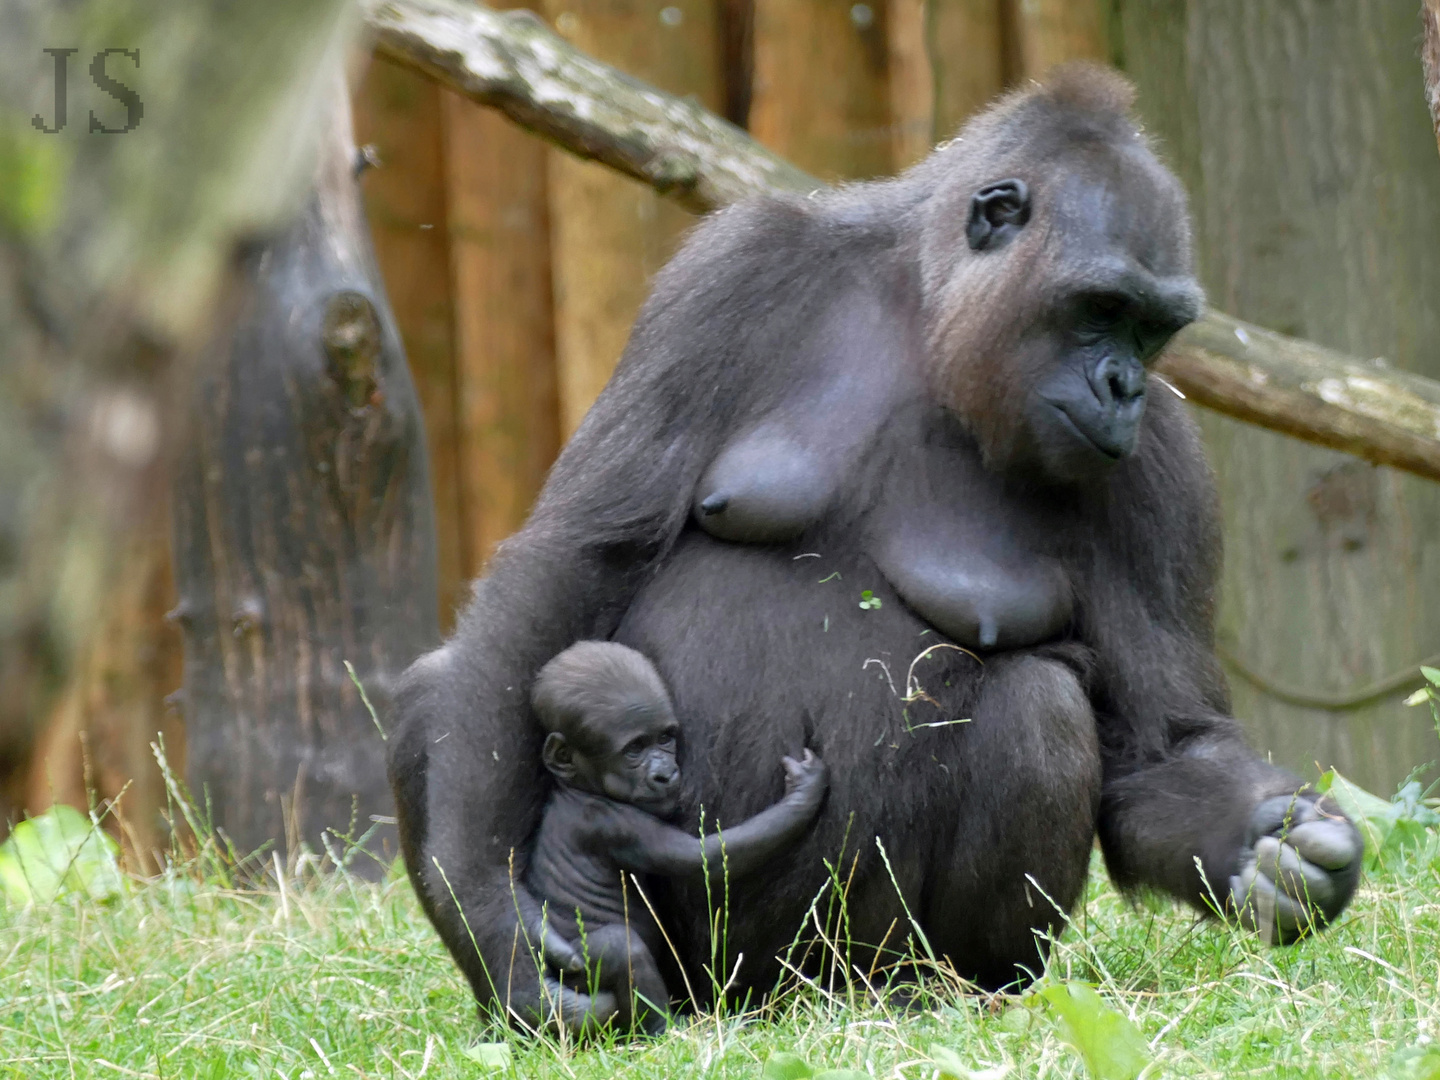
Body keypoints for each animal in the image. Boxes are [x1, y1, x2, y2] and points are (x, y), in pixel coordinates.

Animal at [527, 642, 835, 1031]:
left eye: (664, 738)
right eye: (634, 749)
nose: (665, 775)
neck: (579, 787)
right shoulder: (617, 822)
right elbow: (704, 857)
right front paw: (803, 794)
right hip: (576, 972)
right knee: (621, 949)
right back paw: (667, 1029)